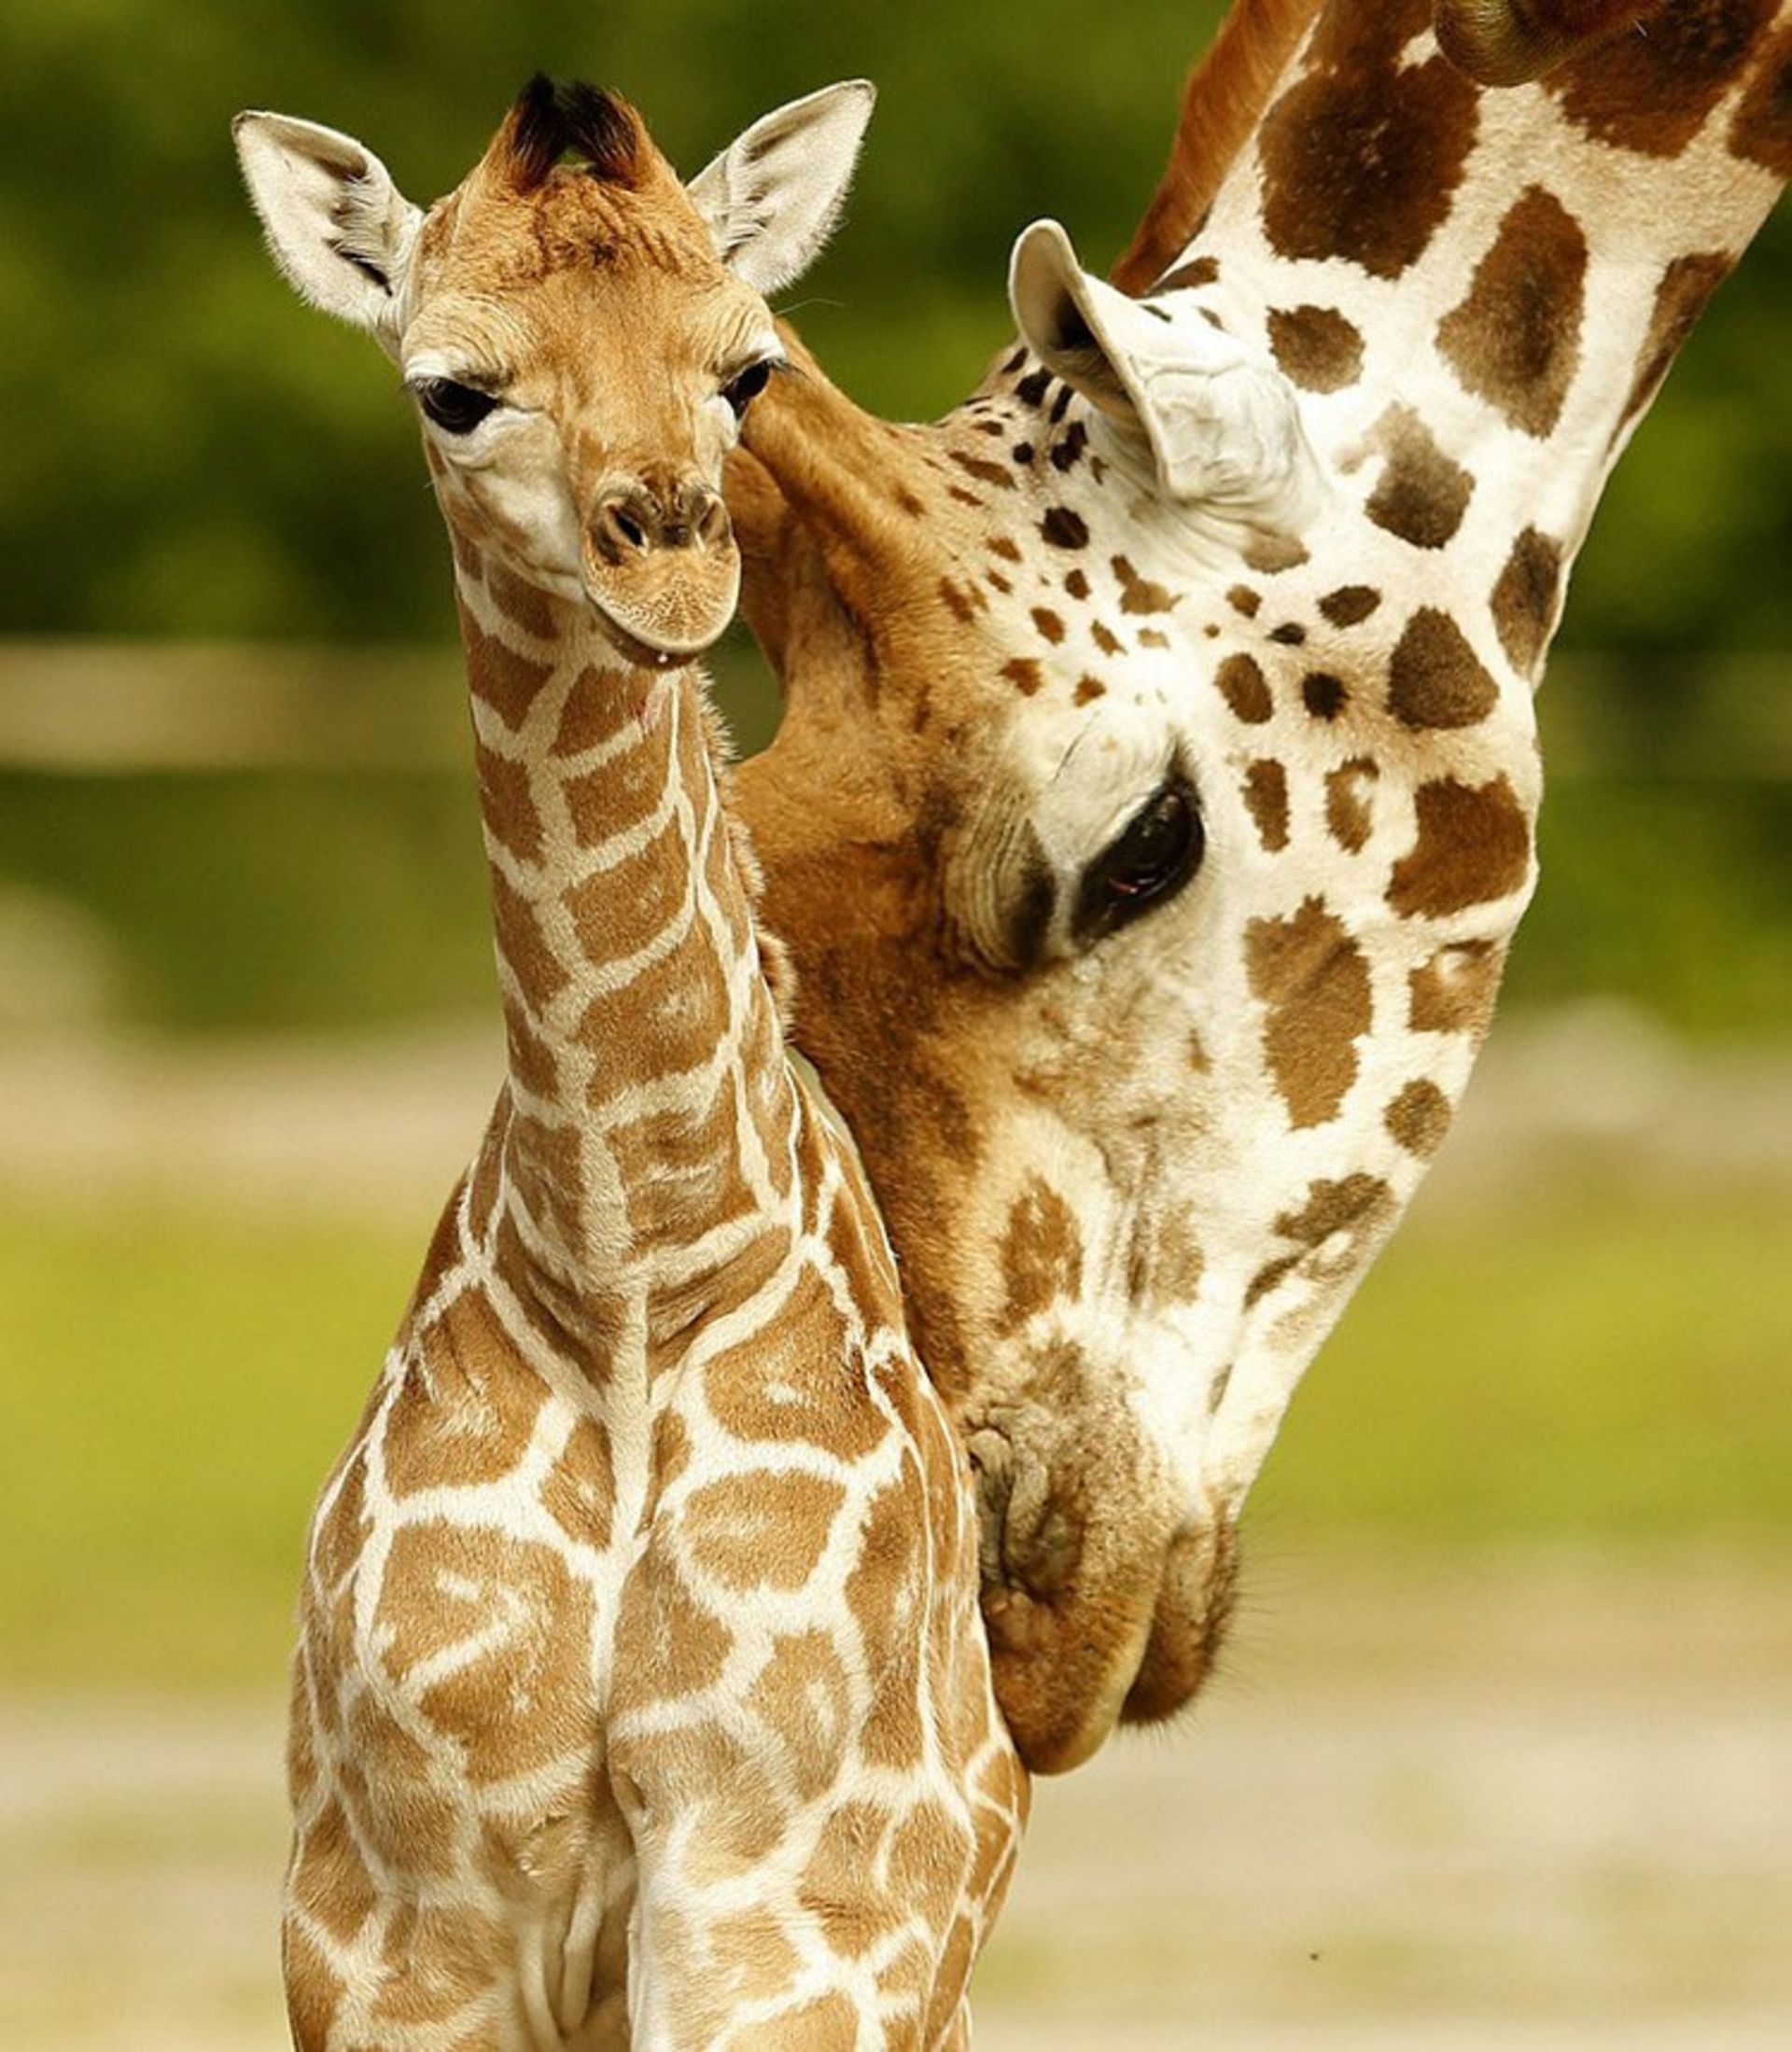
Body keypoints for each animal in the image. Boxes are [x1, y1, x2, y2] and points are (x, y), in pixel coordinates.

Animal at [234, 76, 1025, 2049]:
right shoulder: (395, 1921)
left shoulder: (798, 1902)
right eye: (454, 388)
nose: (669, 553)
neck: (624, 1260)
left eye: (748, 367)